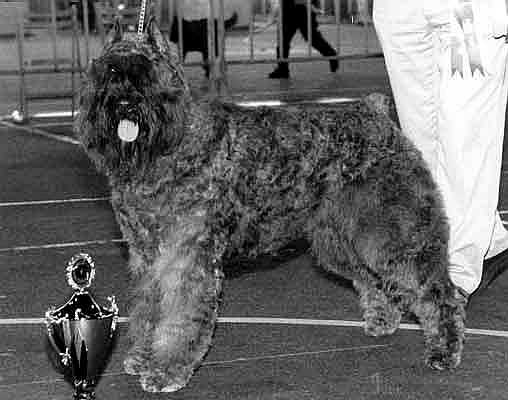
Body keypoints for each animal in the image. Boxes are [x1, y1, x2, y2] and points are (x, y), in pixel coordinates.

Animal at [75, 19, 464, 394]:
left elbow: (178, 318)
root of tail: (375, 112)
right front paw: (142, 356)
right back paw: (383, 321)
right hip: (340, 241)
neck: (172, 144)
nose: (124, 104)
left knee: (439, 293)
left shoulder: (184, 257)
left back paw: (444, 350)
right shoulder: (147, 257)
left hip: (392, 236)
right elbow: (147, 309)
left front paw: (166, 370)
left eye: (148, 73)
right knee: (374, 279)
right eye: (109, 72)